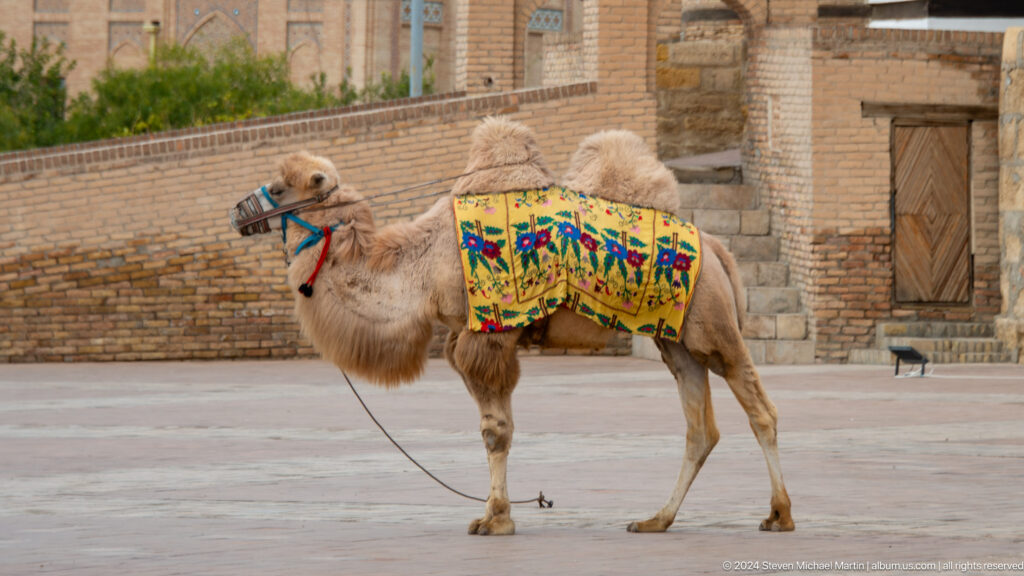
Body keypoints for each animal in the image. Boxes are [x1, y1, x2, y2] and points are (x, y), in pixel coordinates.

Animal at [229, 117, 794, 536]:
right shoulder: (464, 337)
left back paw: (779, 515)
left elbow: (495, 431)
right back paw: (656, 520)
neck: (422, 266)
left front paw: (495, 520)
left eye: (277, 187)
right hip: (672, 339)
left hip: (712, 327)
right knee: (700, 428)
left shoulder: (490, 335)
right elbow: (492, 427)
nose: (236, 213)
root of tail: (717, 248)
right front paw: (492, 513)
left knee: (760, 409)